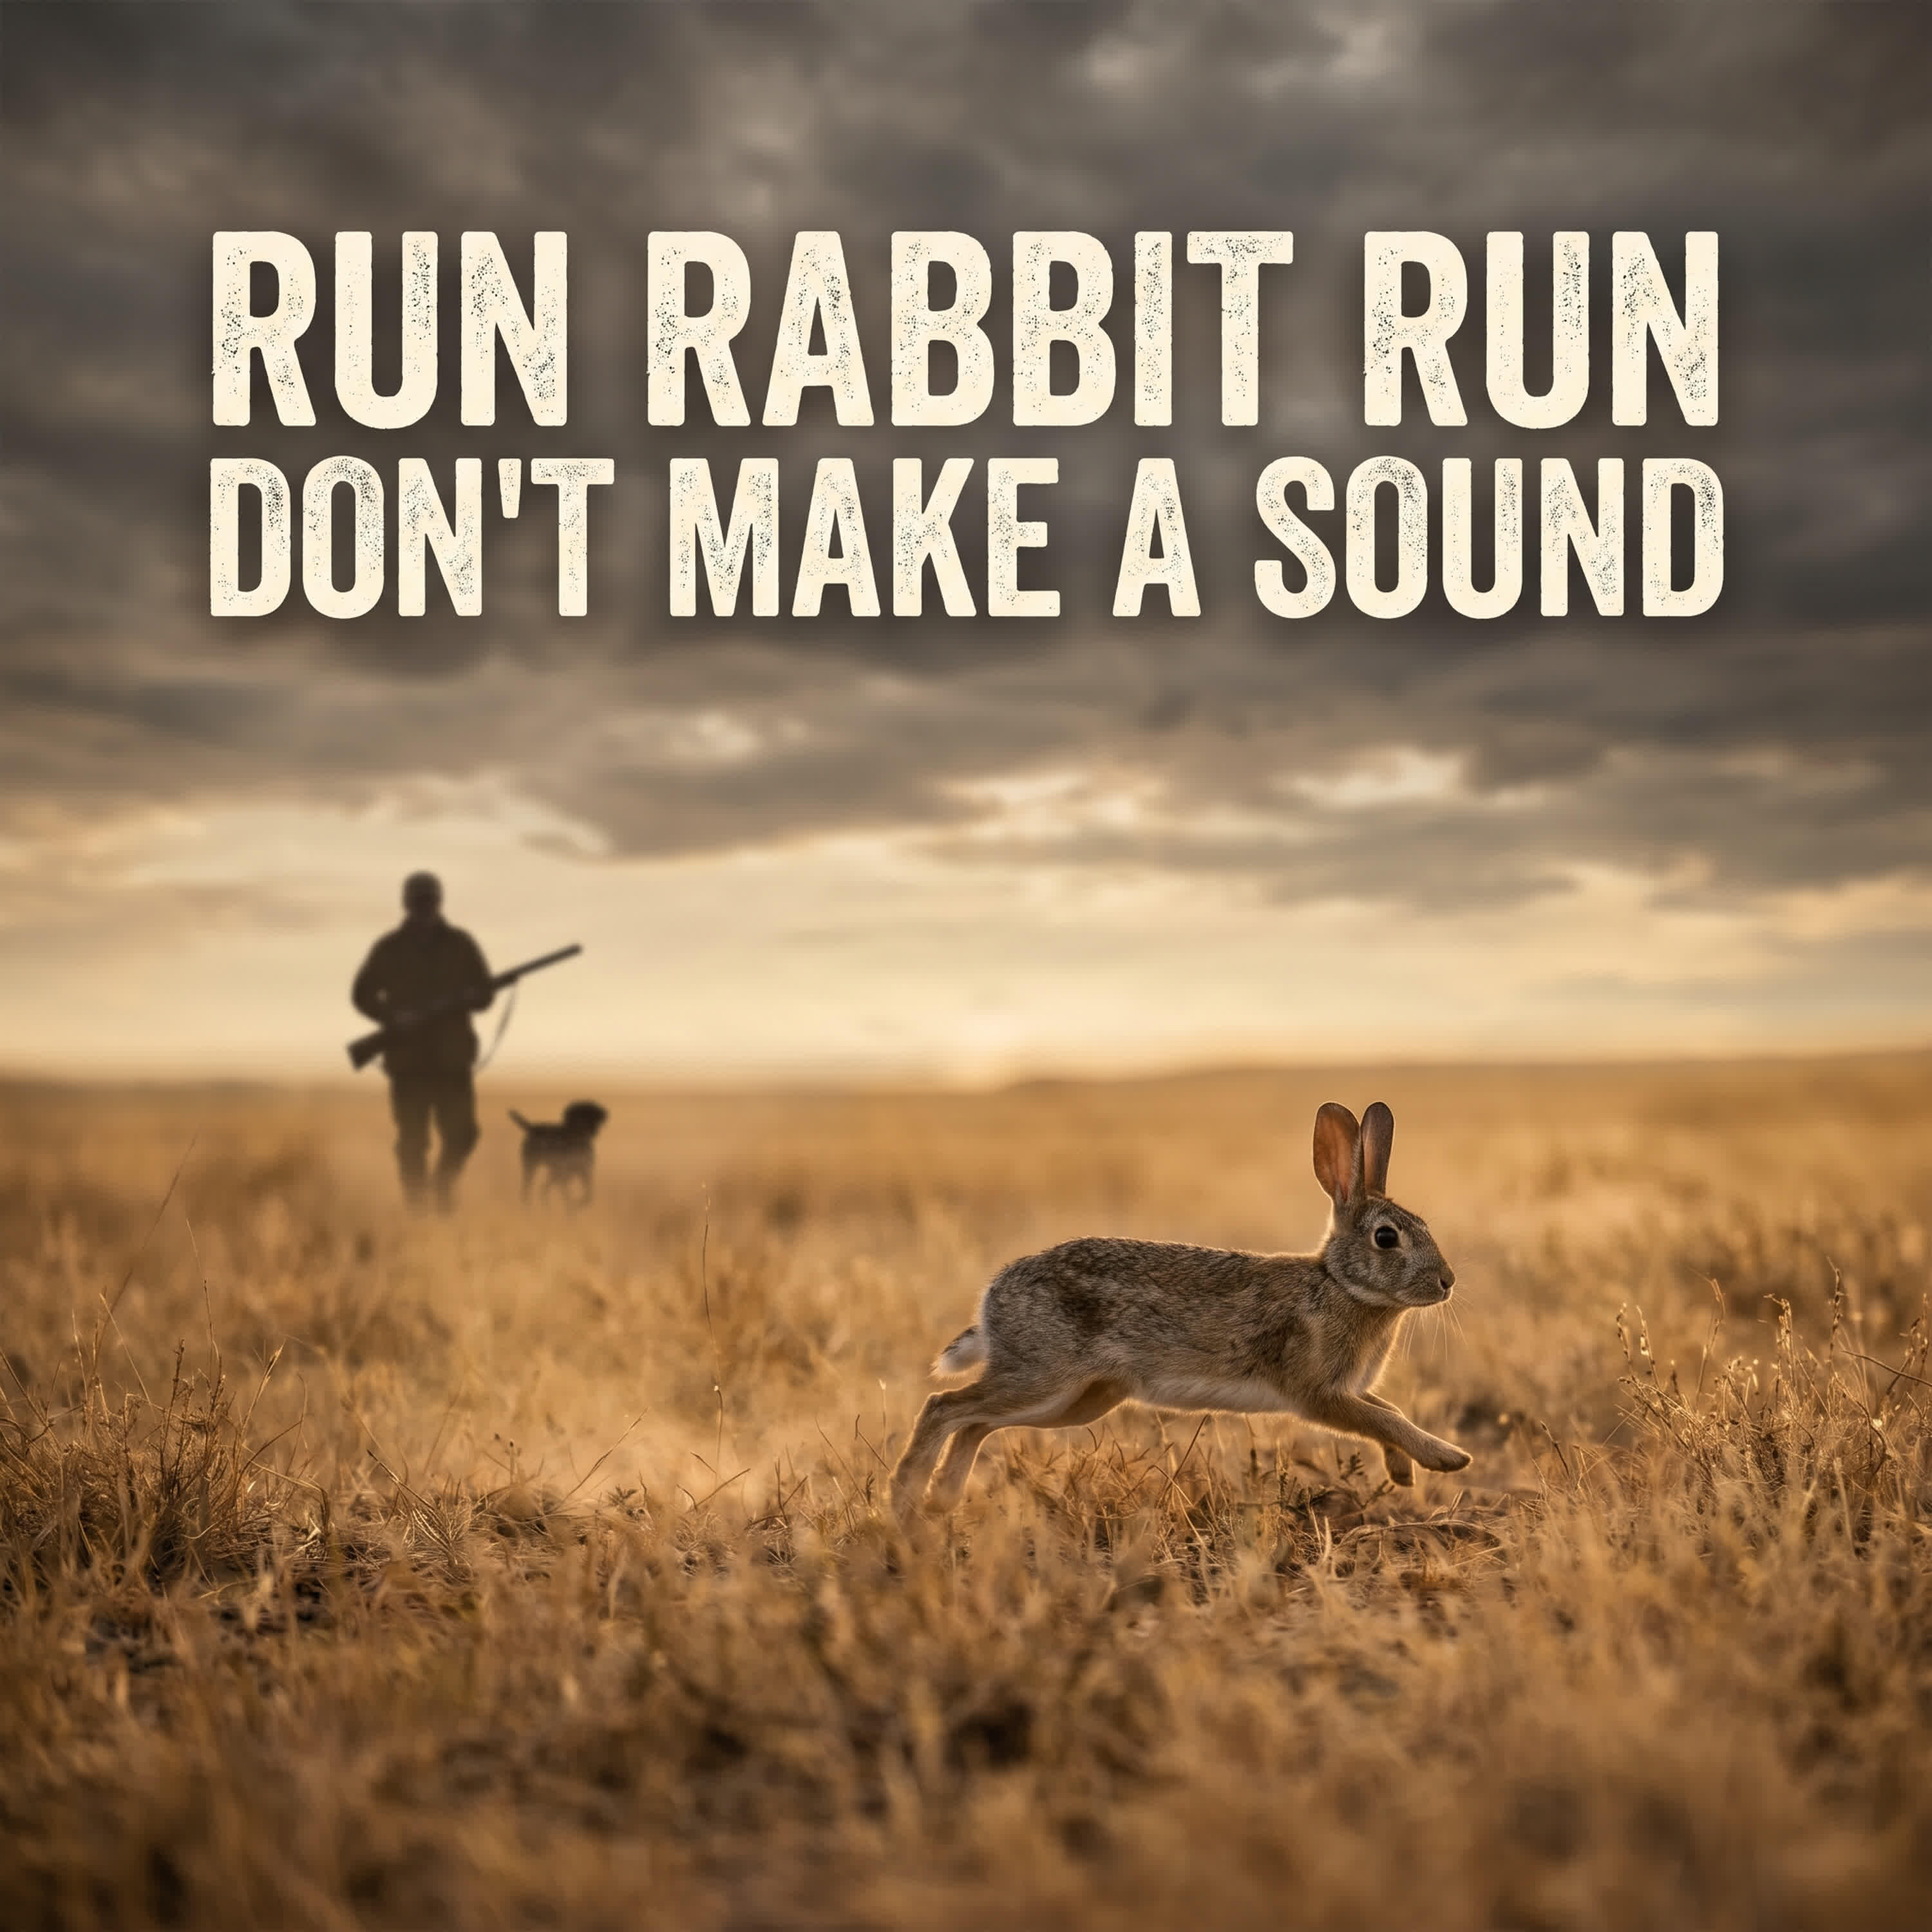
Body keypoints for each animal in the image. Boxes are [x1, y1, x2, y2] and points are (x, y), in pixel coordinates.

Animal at [891, 1100, 1470, 1517]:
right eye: (1387, 1237)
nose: (1447, 1282)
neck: (1339, 1284)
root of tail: (991, 1300)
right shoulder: (1319, 1395)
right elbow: (1381, 1419)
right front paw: (1447, 1458)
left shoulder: (1348, 1390)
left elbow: (1390, 1412)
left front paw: (1404, 1473)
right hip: (1043, 1377)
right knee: (944, 1407)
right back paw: (905, 1499)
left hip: (1078, 1400)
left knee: (974, 1423)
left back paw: (942, 1500)